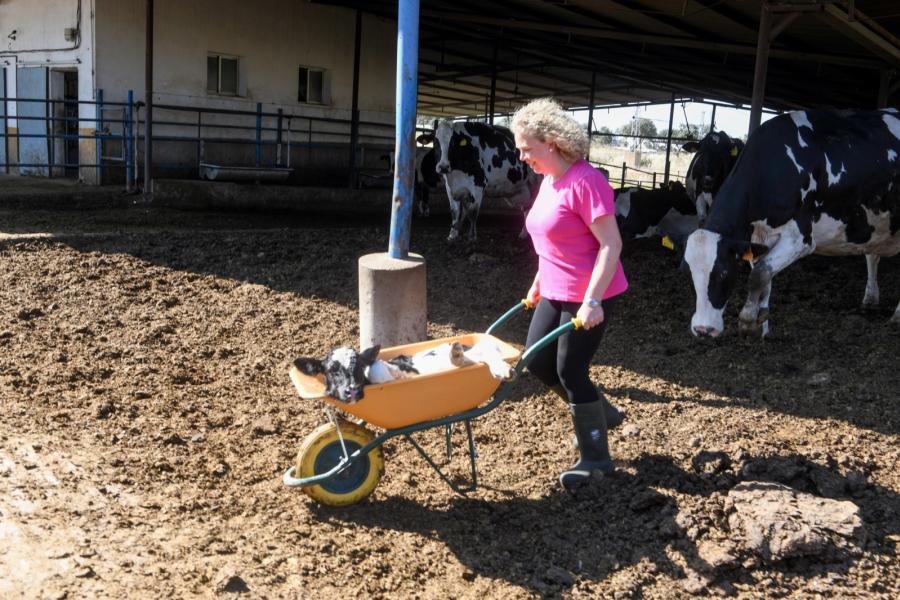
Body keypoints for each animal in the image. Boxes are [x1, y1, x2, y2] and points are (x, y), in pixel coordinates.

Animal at [684, 108, 900, 338]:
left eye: (724, 272)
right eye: (690, 272)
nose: (703, 329)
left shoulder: (800, 239)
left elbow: (758, 275)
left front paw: (748, 319)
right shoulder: (758, 237)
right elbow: (765, 277)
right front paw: (763, 324)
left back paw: (897, 315)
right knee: (872, 254)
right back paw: (870, 299)